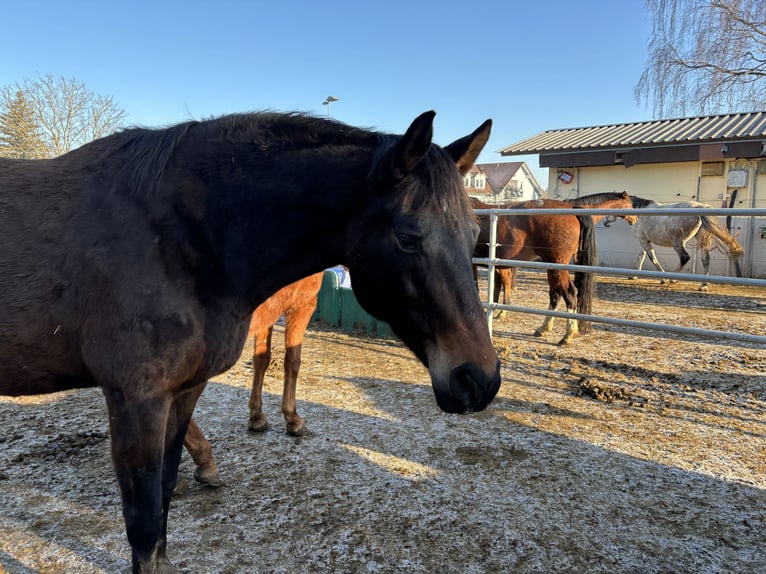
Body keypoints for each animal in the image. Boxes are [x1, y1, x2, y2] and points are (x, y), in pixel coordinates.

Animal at [183, 272, 323, 487]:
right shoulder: (302, 303)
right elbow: (292, 361)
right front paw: (292, 418)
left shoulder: (266, 314)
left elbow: (262, 359)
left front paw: (256, 416)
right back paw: (205, 461)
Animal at [472, 192, 635, 345]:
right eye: (631, 203)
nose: (634, 219)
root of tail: (572, 210)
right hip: (551, 266)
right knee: (555, 294)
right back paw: (544, 328)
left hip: (556, 266)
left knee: (569, 292)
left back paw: (567, 335)